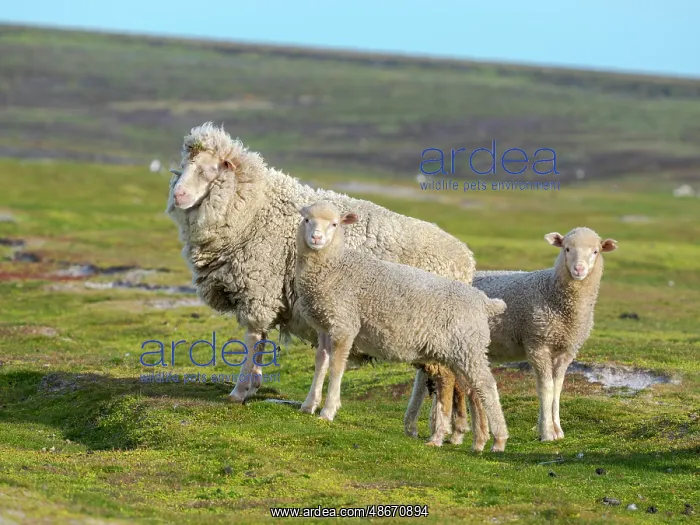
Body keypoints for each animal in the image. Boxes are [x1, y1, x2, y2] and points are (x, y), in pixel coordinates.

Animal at [166, 122, 479, 441]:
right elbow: (263, 341)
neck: (254, 207)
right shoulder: (264, 294)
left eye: (209, 170)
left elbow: (253, 341)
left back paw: (443, 431)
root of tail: (466, 260)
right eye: (184, 165)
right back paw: (434, 428)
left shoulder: (258, 290)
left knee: (444, 378)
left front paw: (239, 392)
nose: (178, 196)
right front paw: (254, 385)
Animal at [294, 200, 509, 452]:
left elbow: (337, 368)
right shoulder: (325, 326)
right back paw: (478, 440)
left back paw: (498, 440)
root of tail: (483, 301)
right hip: (458, 352)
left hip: (468, 347)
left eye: (335, 224)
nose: (316, 238)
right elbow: (321, 362)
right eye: (307, 220)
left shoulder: (345, 324)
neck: (335, 267)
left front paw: (328, 411)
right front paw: (309, 404)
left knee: (486, 386)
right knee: (472, 389)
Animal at [404, 227, 618, 443]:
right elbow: (546, 388)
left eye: (595, 251)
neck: (553, 292)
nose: (579, 270)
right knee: (424, 379)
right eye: (566, 249)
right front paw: (547, 432)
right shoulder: (537, 343)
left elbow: (557, 388)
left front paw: (557, 429)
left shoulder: (566, 350)